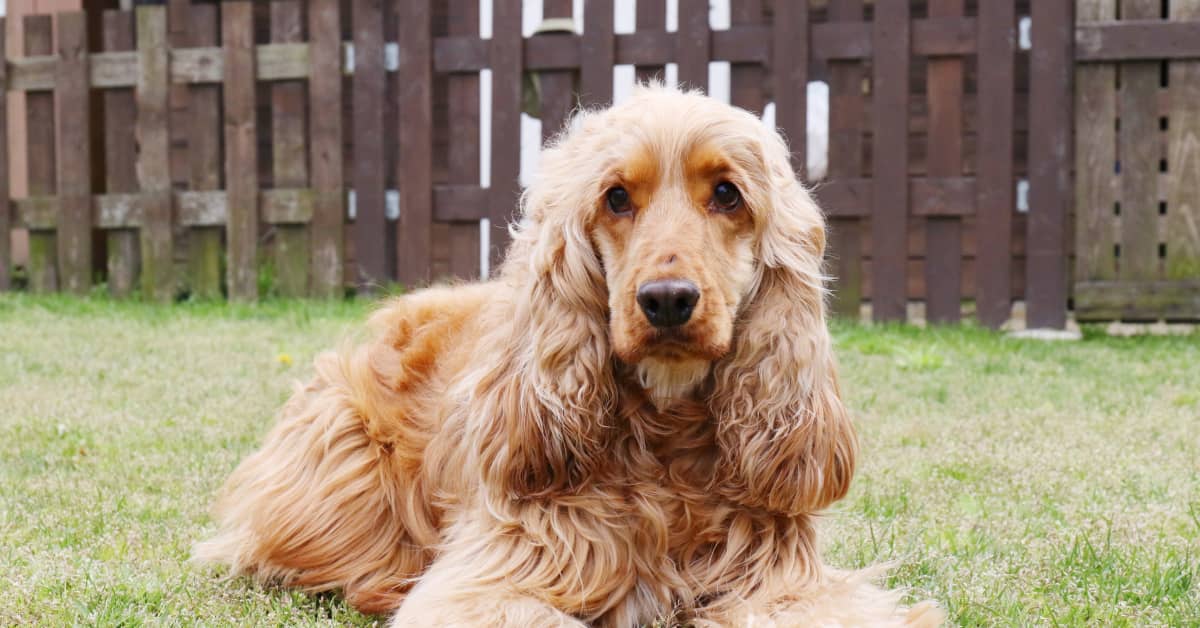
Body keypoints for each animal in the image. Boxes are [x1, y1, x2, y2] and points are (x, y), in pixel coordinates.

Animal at [196, 84, 940, 628]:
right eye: (616, 197)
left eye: (727, 193)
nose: (667, 301)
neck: (664, 440)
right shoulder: (496, 576)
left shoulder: (785, 580)